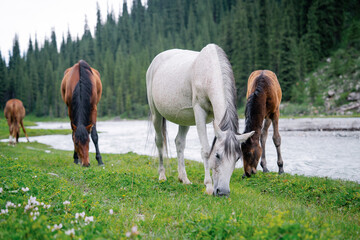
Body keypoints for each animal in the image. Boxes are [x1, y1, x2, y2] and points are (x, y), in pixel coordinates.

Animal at [146, 43, 253, 197]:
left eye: (237, 158)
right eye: (218, 155)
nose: (223, 192)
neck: (209, 71)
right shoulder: (199, 111)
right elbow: (206, 150)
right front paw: (208, 186)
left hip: (184, 119)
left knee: (179, 143)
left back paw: (184, 178)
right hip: (156, 114)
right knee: (160, 142)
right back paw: (162, 176)